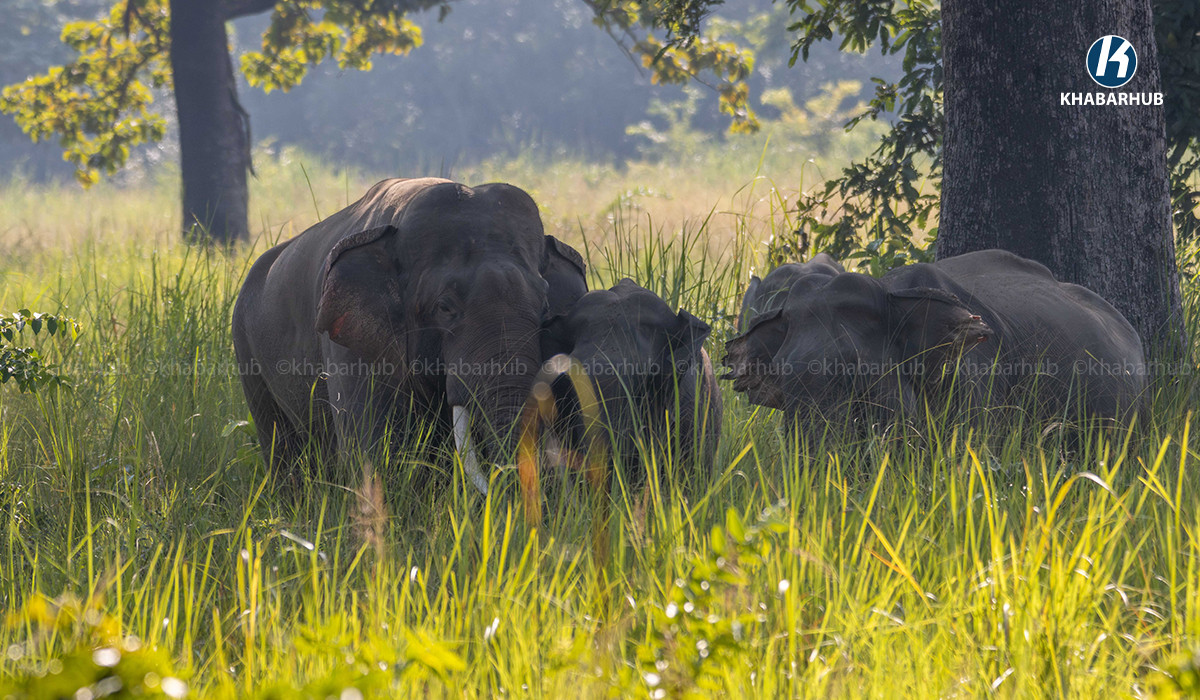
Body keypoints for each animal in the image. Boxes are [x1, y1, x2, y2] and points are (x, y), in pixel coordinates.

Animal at [232, 177, 587, 489]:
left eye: (544, 307)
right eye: (444, 307)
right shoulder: (351, 345)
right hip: (245, 348)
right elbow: (375, 451)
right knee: (280, 448)